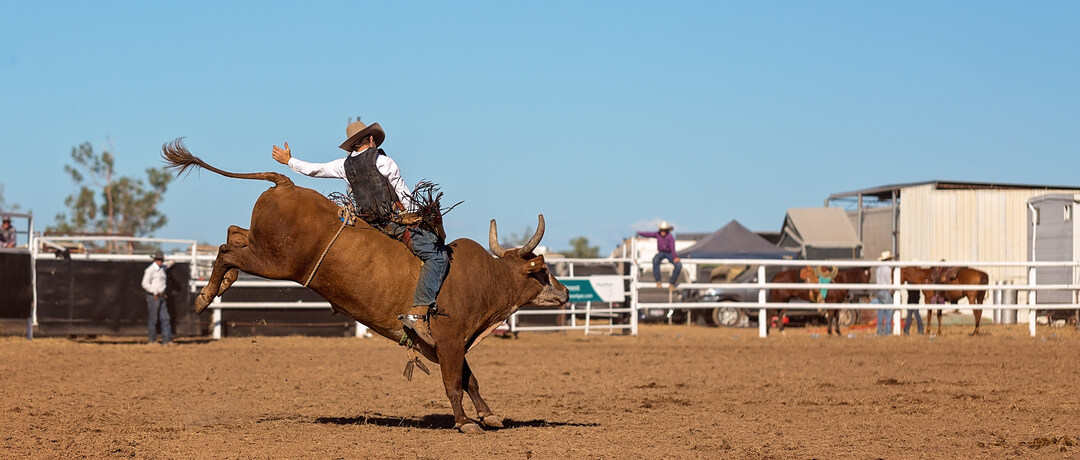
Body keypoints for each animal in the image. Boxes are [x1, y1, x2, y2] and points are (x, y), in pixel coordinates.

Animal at [160, 138, 574, 434]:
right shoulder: (450, 339)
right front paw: (465, 423)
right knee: (228, 251)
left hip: (263, 247)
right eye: (542, 269)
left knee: (233, 234)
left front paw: (488, 416)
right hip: (274, 262)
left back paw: (219, 285)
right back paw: (204, 297)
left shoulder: (447, 343)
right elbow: (454, 383)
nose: (566, 292)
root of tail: (286, 184)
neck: (485, 278)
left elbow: (470, 380)